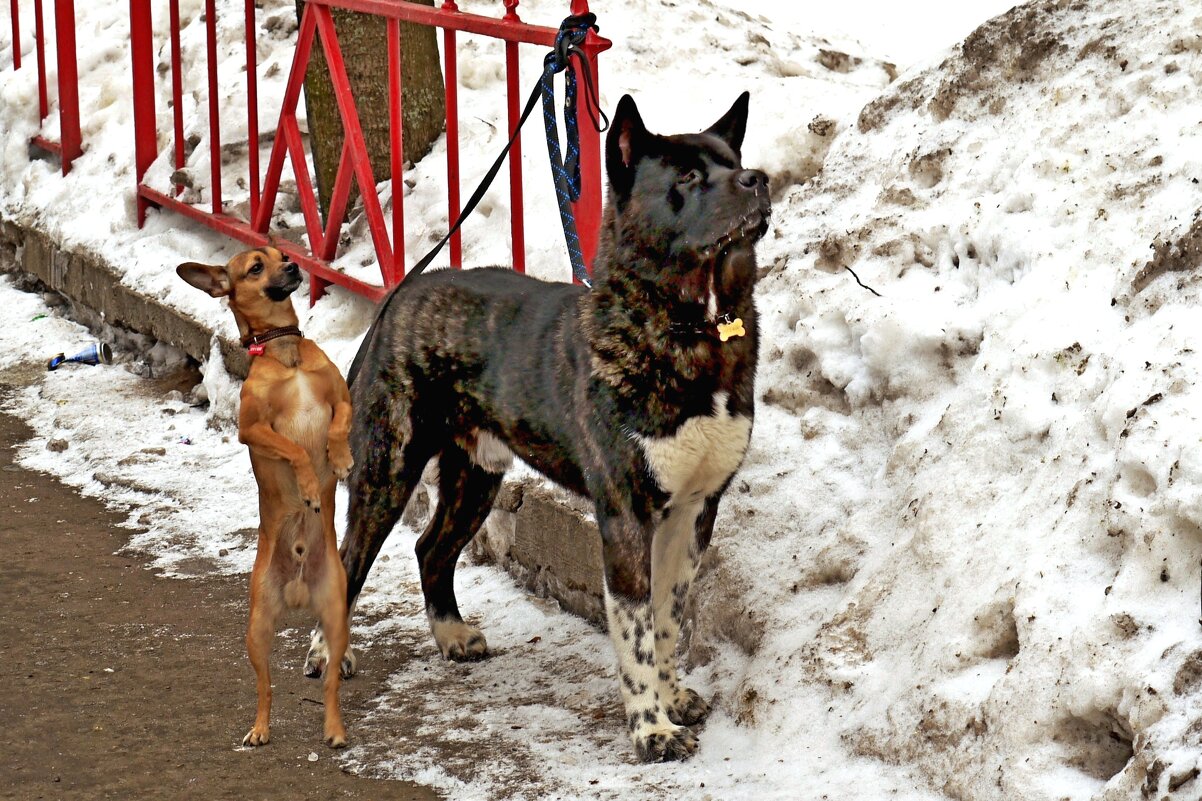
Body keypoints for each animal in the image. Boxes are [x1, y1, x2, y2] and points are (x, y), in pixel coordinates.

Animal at [175, 246, 350, 745]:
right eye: (256, 267)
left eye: (281, 254)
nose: (293, 267)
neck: (283, 350)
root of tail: (298, 593)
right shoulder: (252, 430)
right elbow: (296, 449)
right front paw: (309, 485)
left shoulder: (342, 398)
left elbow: (337, 425)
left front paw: (340, 457)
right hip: (256, 630)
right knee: (265, 687)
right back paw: (259, 729)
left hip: (336, 617)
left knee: (330, 684)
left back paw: (334, 729)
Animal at [305, 90, 764, 760]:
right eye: (686, 177)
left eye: (733, 163)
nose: (758, 180)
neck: (689, 325)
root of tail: (401, 293)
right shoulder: (626, 516)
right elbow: (636, 633)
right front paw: (650, 728)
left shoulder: (693, 512)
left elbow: (668, 618)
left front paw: (673, 698)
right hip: (387, 470)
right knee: (348, 560)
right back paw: (326, 654)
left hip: (475, 476)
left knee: (430, 549)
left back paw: (451, 635)